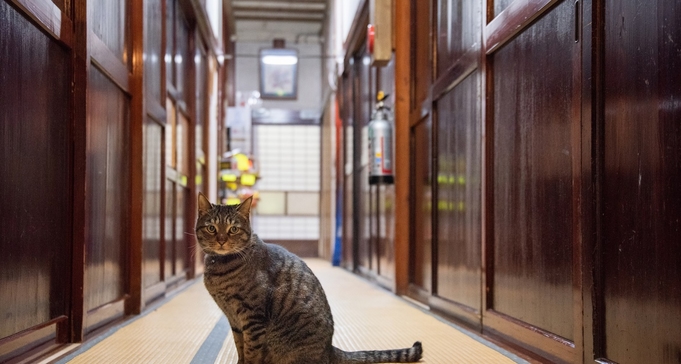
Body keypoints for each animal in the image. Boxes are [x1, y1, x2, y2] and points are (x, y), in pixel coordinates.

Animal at [194, 192, 422, 362]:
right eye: (211, 228)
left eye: (233, 229)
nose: (221, 240)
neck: (220, 267)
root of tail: (329, 349)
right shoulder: (234, 319)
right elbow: (240, 347)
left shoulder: (252, 317)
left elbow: (251, 351)